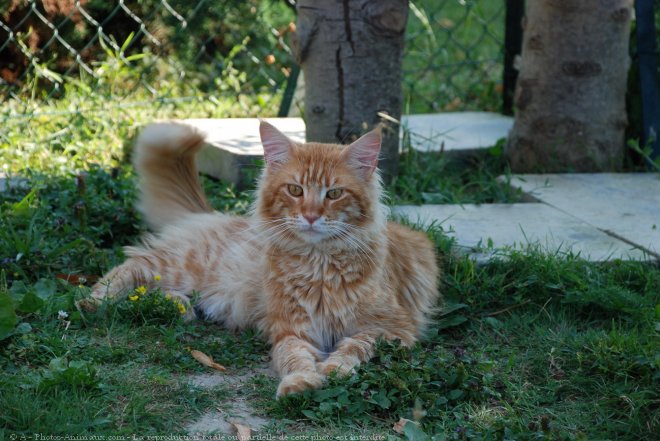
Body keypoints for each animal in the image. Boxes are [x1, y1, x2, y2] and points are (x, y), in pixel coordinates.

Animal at [85, 119, 440, 396]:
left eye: (335, 194)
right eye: (295, 190)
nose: (311, 216)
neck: (319, 265)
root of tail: (212, 213)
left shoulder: (393, 329)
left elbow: (353, 347)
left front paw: (333, 370)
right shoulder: (291, 329)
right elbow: (294, 357)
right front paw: (300, 382)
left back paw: (178, 308)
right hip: (184, 265)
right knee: (135, 261)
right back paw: (94, 300)